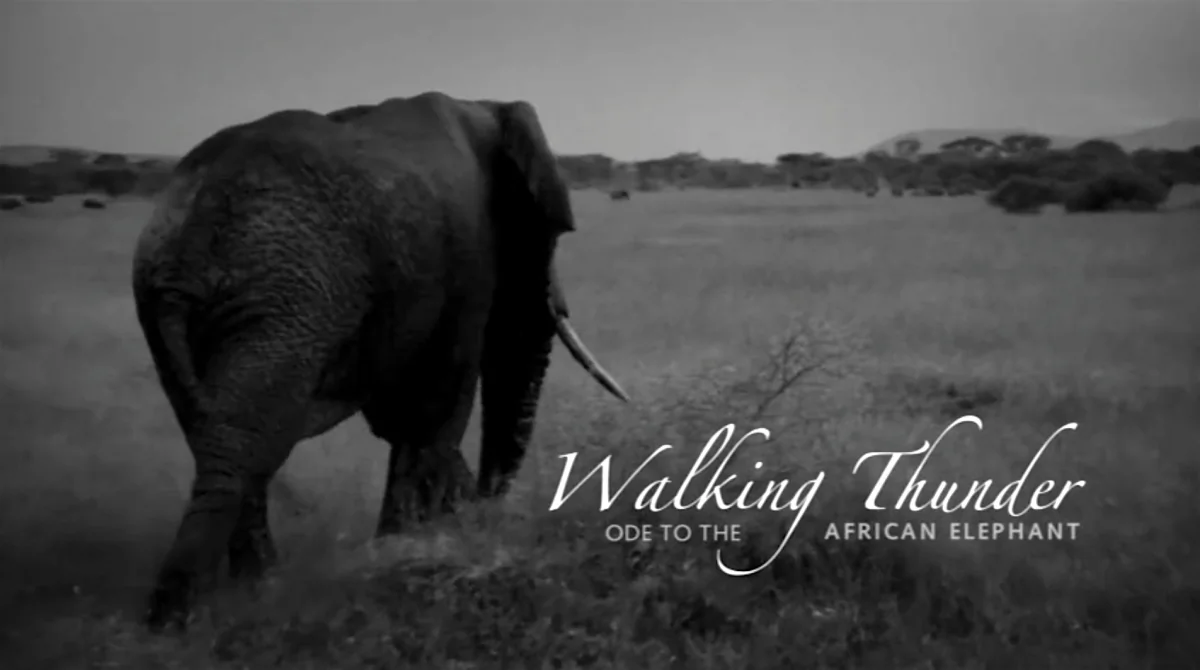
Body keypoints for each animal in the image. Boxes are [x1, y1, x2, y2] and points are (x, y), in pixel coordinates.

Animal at [131, 91, 630, 630]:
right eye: (546, 234)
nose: (484, 513)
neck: (482, 107)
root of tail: (187, 246)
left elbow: (404, 415)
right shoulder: (469, 259)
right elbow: (436, 408)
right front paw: (402, 555)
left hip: (186, 311)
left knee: (221, 439)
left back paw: (250, 592)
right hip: (283, 304)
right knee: (245, 440)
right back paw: (188, 615)